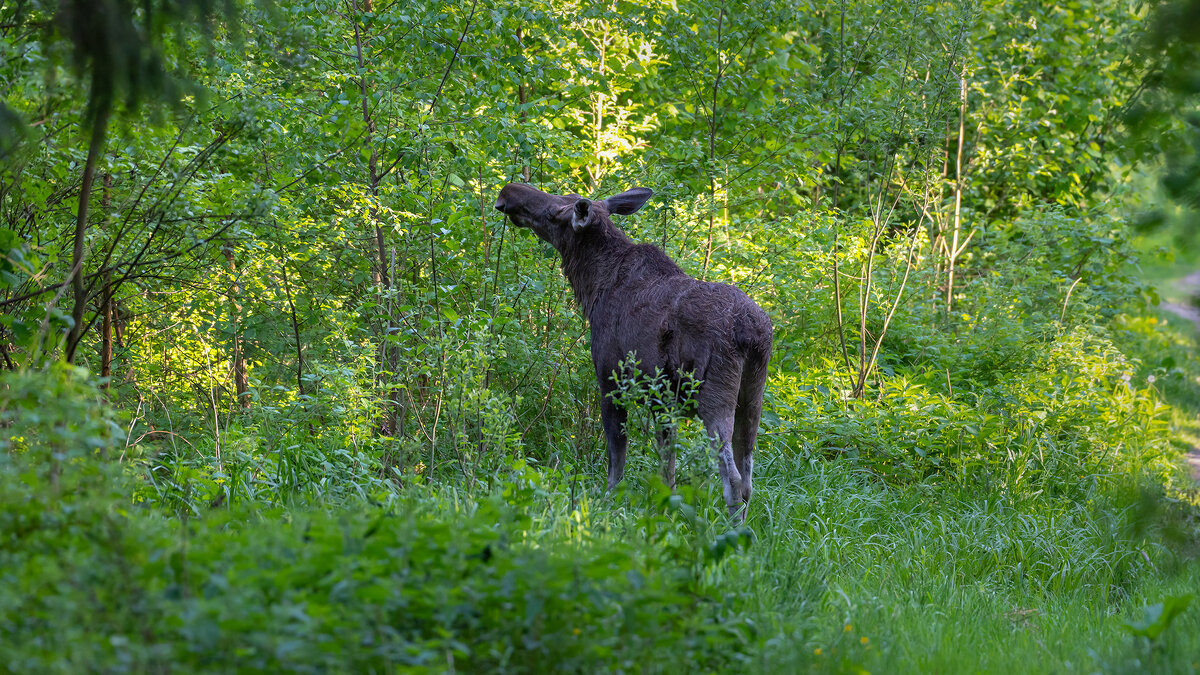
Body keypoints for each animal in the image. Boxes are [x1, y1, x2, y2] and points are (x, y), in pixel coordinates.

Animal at [492, 182, 772, 521]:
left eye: (555, 211)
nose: (508, 192)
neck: (592, 287)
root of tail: (752, 332)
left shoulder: (611, 383)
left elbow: (617, 464)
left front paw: (607, 506)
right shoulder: (663, 403)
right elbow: (668, 473)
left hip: (713, 394)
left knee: (732, 478)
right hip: (752, 396)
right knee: (748, 478)